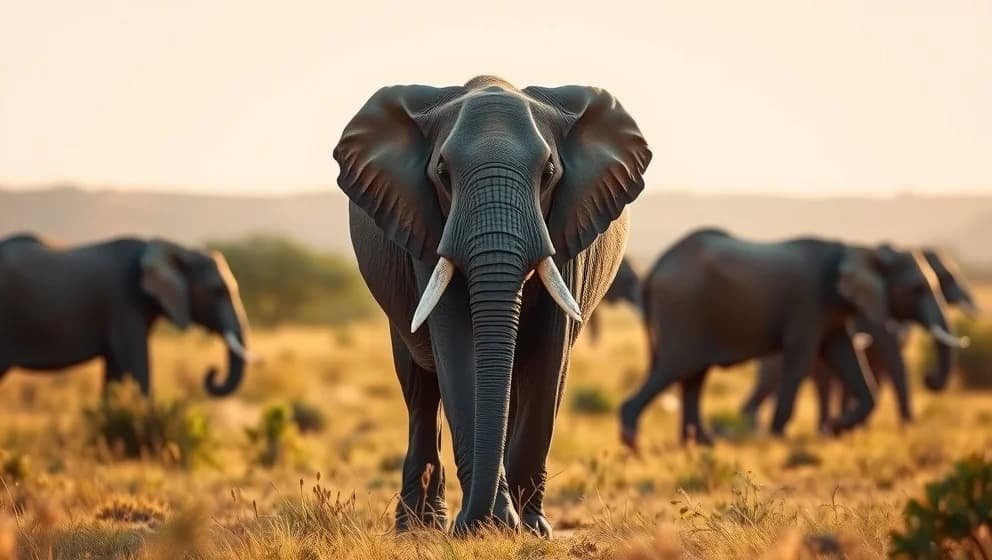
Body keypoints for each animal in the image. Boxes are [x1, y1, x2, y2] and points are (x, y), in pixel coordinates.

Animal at [332, 76, 650, 535]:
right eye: (443, 174)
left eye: (549, 173)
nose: (478, 519)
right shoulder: (427, 226)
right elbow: (457, 348)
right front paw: (483, 528)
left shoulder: (566, 230)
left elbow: (547, 357)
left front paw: (527, 529)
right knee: (420, 388)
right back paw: (418, 527)